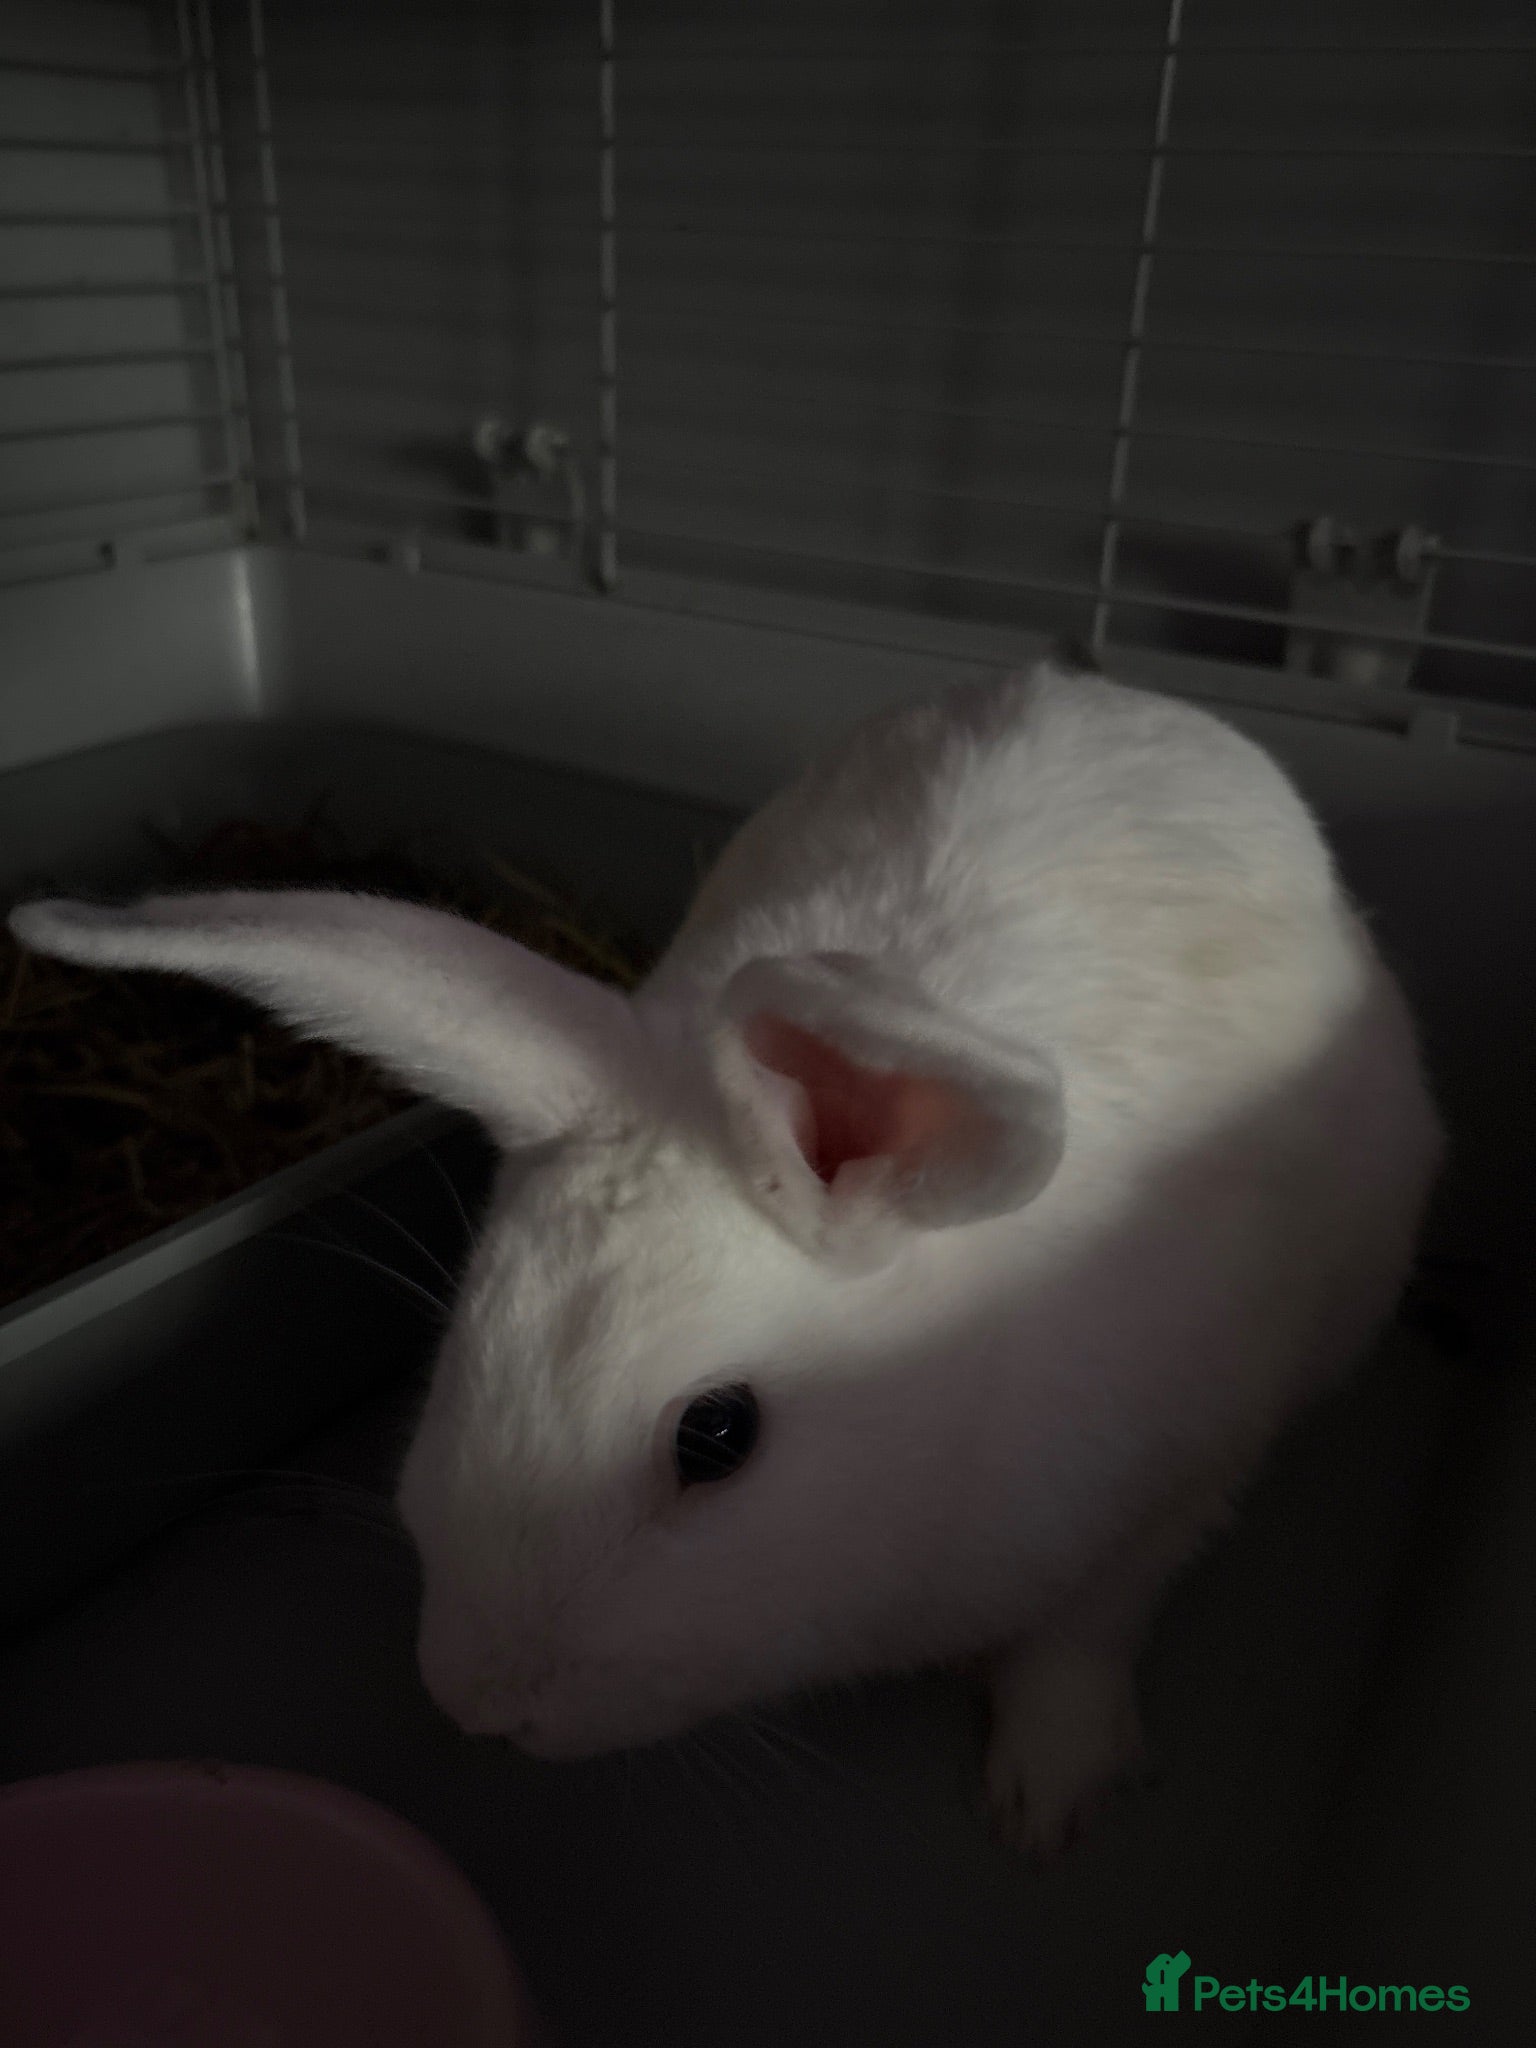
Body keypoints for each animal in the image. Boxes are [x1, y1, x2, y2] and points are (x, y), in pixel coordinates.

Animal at [8, 653, 1442, 1860]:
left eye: (718, 1436)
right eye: (468, 1346)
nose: (481, 1701)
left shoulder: (1187, 1467)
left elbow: (1083, 1636)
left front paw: (1048, 1800)